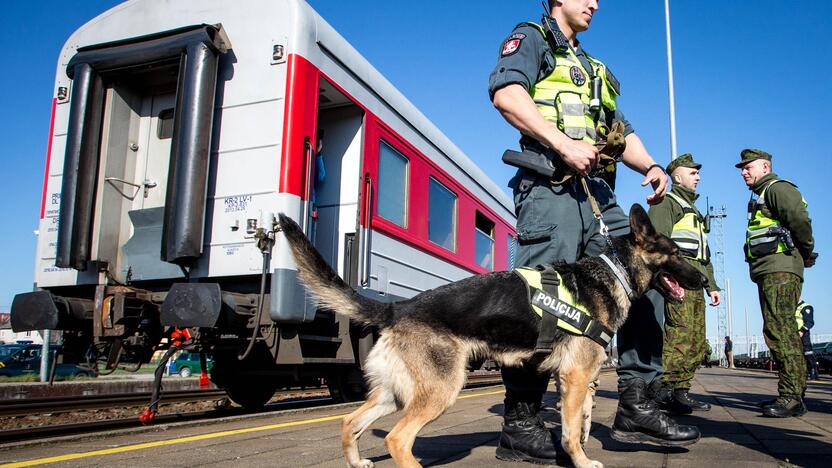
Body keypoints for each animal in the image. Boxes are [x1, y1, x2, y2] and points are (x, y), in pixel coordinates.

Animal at [278, 205, 704, 468]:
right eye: (676, 254)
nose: (703, 280)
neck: (613, 271)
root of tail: (398, 308)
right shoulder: (576, 377)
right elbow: (570, 432)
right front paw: (581, 461)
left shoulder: (581, 380)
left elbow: (581, 422)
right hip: (441, 390)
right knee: (397, 439)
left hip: (394, 393)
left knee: (350, 421)